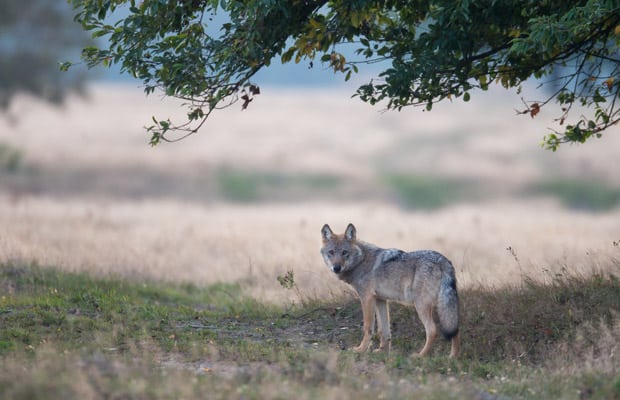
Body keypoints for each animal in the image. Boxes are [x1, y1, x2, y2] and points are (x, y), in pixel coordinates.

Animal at [320, 223, 460, 358]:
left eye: (344, 252)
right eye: (331, 252)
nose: (336, 267)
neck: (361, 261)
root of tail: (442, 260)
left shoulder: (366, 298)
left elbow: (368, 327)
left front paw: (361, 350)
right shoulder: (380, 300)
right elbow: (384, 330)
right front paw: (382, 351)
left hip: (421, 305)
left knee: (432, 330)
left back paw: (421, 355)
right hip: (445, 306)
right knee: (454, 328)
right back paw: (452, 357)